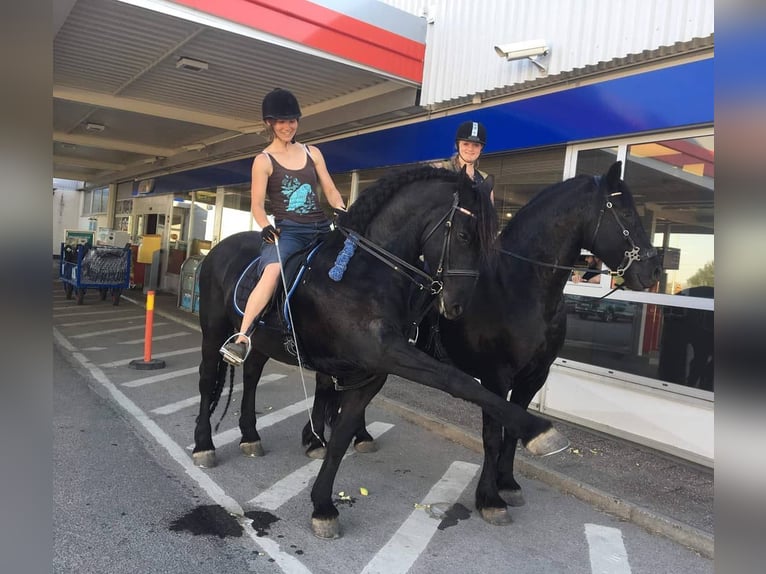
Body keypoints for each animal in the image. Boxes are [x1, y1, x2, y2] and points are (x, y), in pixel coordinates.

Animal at [192, 165, 568, 540]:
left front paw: (323, 505)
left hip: (261, 343)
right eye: (463, 236)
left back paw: (250, 436)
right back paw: (204, 446)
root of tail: (218, 249)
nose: (458, 305)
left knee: (253, 375)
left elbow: (342, 434)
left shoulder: (374, 370)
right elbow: (456, 380)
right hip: (213, 333)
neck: (362, 273)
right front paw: (539, 432)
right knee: (208, 381)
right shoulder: (391, 354)